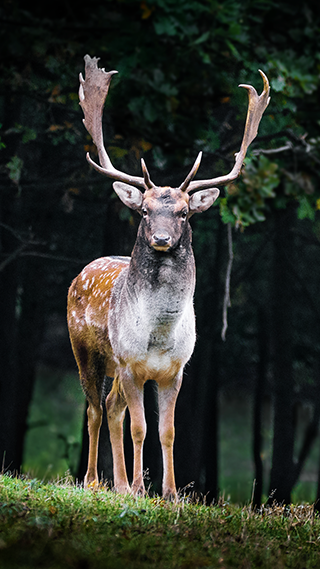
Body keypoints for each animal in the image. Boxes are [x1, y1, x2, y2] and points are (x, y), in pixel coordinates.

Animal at [67, 54, 270, 496]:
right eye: (144, 210)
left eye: (184, 212)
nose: (161, 239)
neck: (158, 336)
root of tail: (80, 274)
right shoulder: (130, 363)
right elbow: (140, 428)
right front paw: (142, 489)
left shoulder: (175, 370)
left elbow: (168, 431)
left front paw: (170, 493)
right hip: (87, 351)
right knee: (93, 409)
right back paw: (94, 481)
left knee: (111, 408)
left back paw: (119, 484)